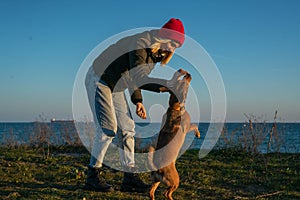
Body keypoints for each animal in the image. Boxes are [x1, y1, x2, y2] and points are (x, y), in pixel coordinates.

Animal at [148, 69, 199, 200]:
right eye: (182, 81)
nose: (188, 74)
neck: (174, 107)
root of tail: (158, 169)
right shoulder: (188, 126)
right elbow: (195, 126)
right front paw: (198, 134)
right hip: (175, 180)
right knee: (166, 193)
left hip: (156, 181)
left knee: (151, 192)